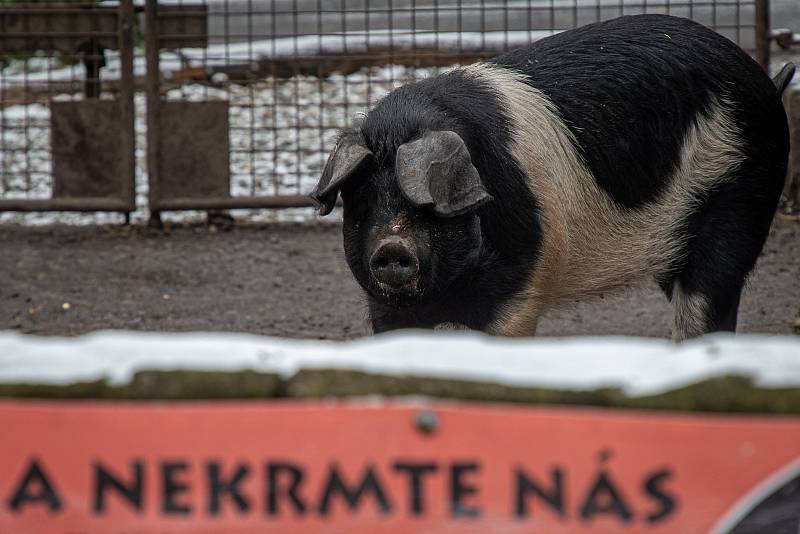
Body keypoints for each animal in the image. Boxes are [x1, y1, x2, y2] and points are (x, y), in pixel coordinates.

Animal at [310, 14, 792, 342]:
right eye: (363, 202)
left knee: (710, 298)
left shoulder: (516, 286)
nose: (392, 248)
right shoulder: (385, 306)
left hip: (741, 200)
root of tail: (766, 80)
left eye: (429, 206)